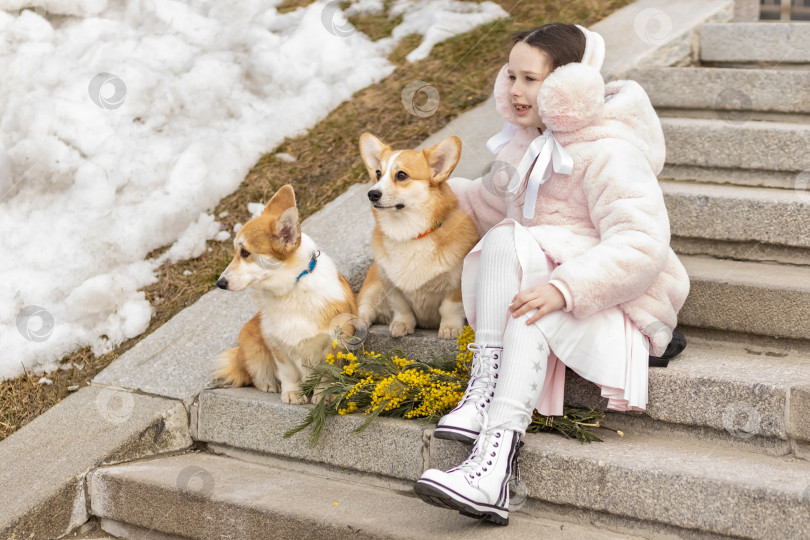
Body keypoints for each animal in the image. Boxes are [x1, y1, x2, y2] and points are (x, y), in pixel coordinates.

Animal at [215, 185, 356, 400]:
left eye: (245, 252)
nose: (220, 283)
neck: (292, 289)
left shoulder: (332, 342)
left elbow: (324, 372)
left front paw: (321, 394)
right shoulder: (276, 344)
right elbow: (288, 372)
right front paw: (292, 394)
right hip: (250, 340)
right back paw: (268, 384)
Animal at [356, 133, 476, 340]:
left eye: (401, 175)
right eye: (378, 173)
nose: (372, 194)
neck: (409, 235)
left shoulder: (456, 283)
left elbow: (449, 308)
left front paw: (450, 328)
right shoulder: (391, 286)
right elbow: (402, 308)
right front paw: (402, 325)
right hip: (373, 286)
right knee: (364, 308)